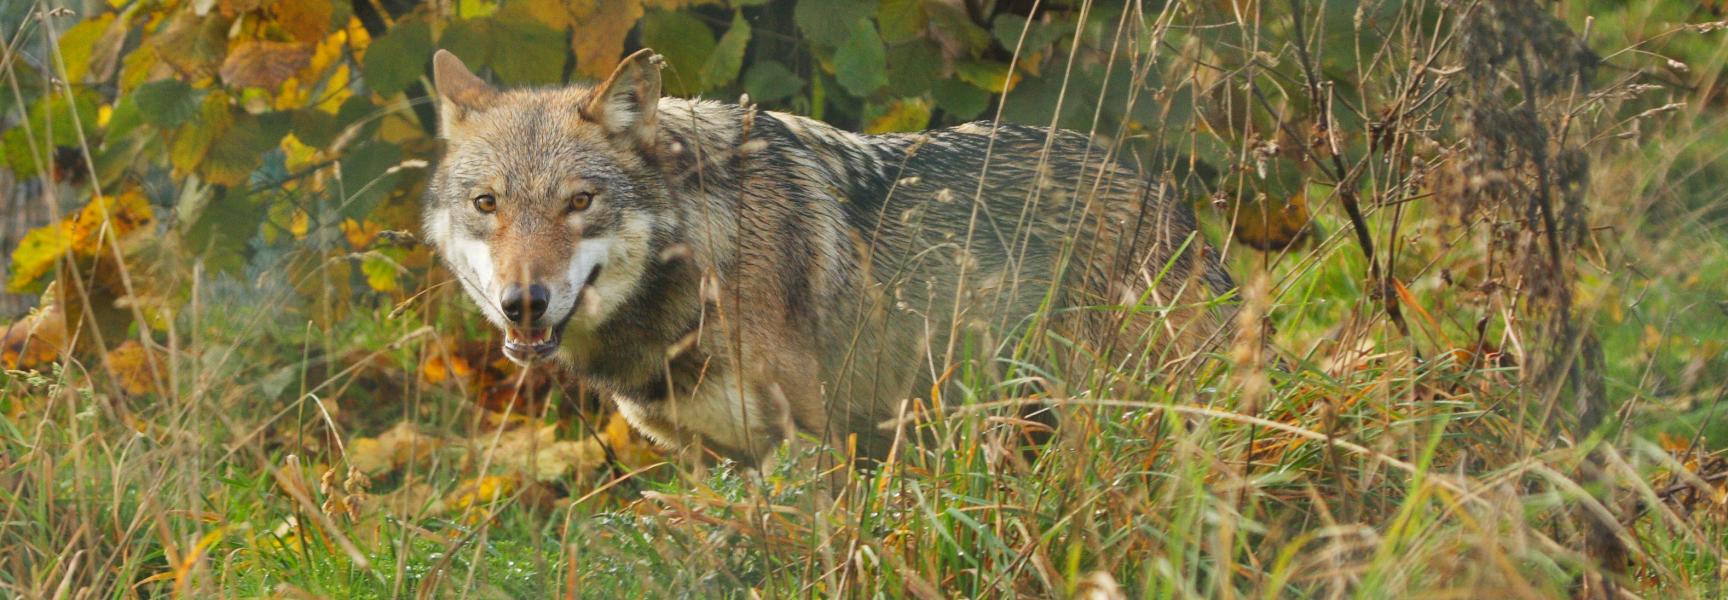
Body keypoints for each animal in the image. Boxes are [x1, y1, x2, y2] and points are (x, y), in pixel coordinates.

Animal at [423, 48, 1235, 464]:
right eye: (487, 205)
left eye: (579, 202)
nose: (522, 302)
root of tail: (1165, 197)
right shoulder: (704, 460)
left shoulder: (813, 446)